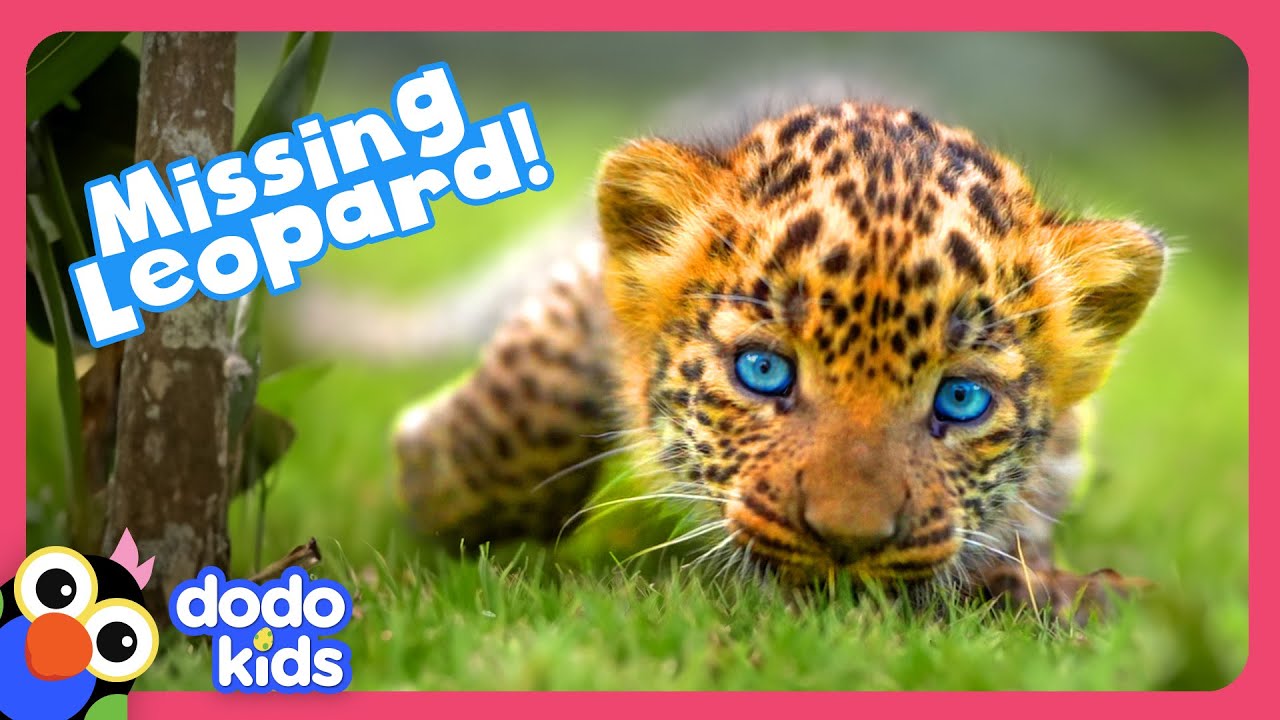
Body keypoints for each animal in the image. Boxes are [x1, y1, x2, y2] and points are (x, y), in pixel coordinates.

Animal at [392, 101, 1165, 623]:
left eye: (961, 400)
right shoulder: (587, 282)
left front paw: (1061, 594)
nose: (847, 541)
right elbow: (536, 385)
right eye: (763, 372)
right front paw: (431, 479)